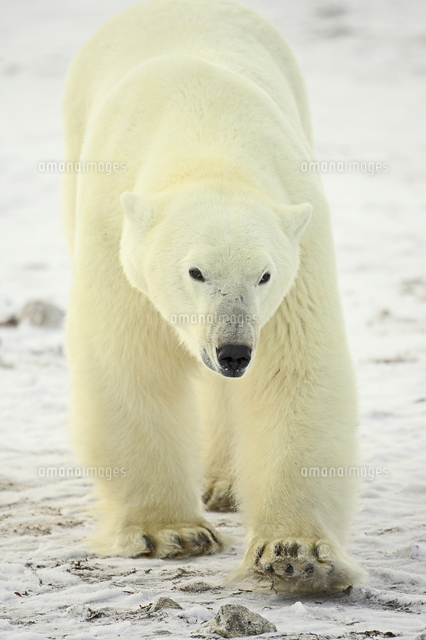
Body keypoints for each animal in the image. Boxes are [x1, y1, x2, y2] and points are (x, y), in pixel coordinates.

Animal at [61, 0, 366, 593]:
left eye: (264, 275)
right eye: (195, 271)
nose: (233, 352)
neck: (205, 130)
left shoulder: (299, 244)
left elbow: (293, 372)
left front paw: (296, 553)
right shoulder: (115, 236)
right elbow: (130, 363)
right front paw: (172, 532)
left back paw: (225, 483)